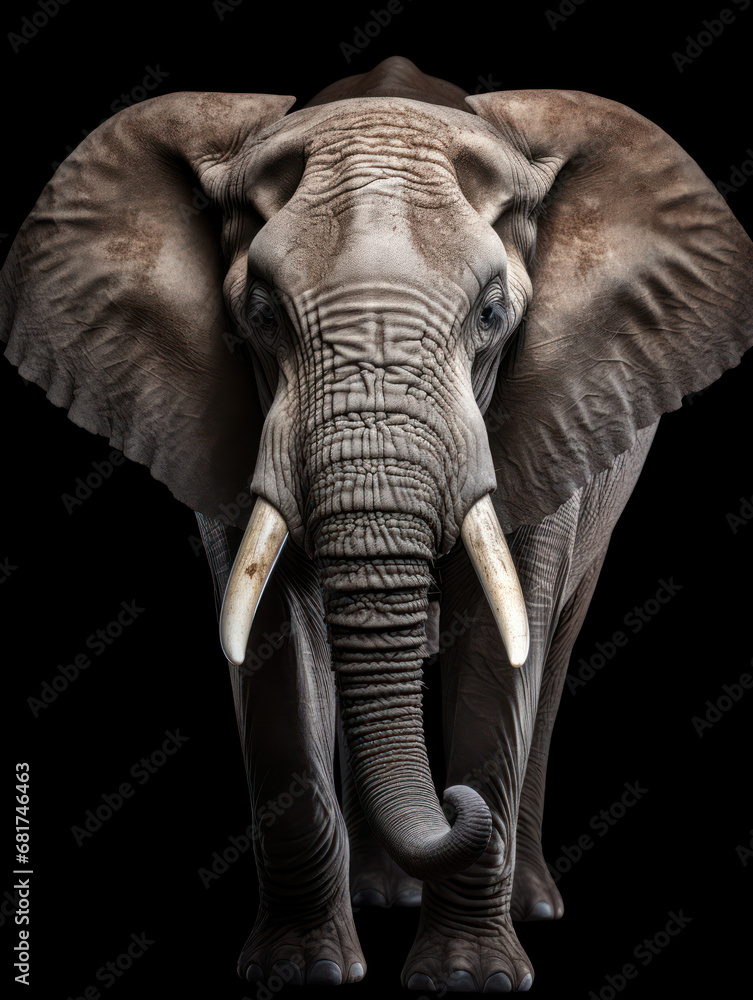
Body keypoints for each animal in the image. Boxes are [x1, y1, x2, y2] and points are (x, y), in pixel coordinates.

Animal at [2, 54, 752, 992]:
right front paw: (301, 972)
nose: (454, 806)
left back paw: (529, 904)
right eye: (260, 316)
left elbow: (499, 647)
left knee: (553, 648)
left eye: (491, 316)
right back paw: (381, 896)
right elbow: (275, 644)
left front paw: (467, 979)